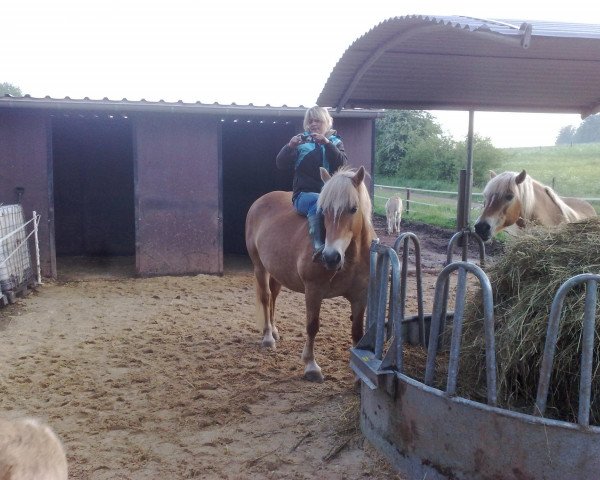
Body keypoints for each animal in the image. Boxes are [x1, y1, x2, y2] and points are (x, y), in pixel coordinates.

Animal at [244, 166, 376, 382]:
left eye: (353, 209)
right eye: (323, 211)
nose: (330, 257)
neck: (350, 259)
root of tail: (260, 201)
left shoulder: (360, 296)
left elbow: (358, 332)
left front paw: (358, 376)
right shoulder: (313, 291)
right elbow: (312, 326)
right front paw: (311, 366)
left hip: (276, 272)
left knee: (273, 297)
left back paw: (274, 330)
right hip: (259, 267)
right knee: (265, 297)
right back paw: (268, 337)